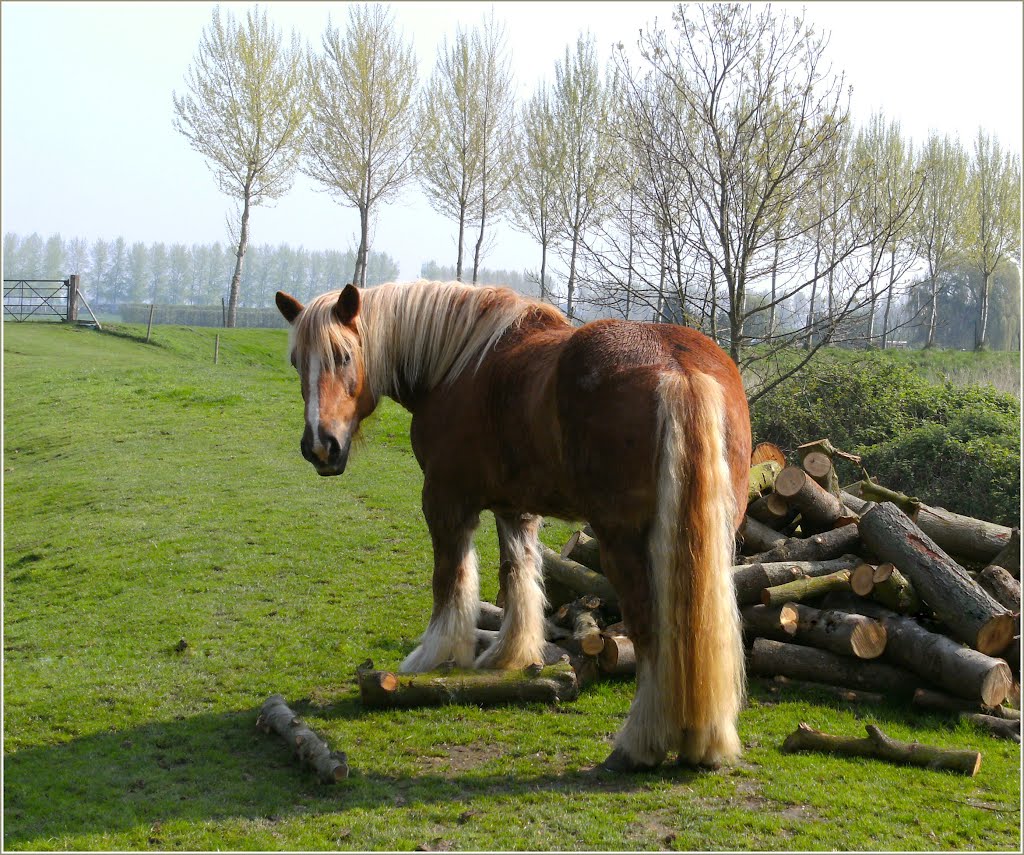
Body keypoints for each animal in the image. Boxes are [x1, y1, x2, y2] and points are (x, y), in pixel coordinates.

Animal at [274, 282, 753, 774]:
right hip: (713, 543)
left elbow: (450, 581)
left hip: (624, 544)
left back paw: (639, 744)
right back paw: (702, 741)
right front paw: (510, 656)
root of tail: (678, 367)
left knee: (652, 634)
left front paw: (433, 657)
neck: (457, 365)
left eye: (343, 355)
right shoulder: (515, 509)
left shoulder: (446, 501)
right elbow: (517, 576)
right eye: (296, 361)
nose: (320, 447)